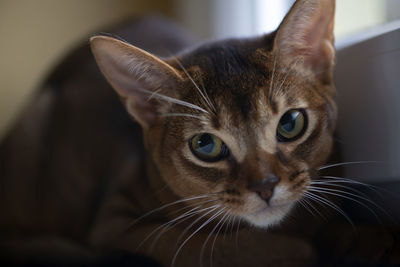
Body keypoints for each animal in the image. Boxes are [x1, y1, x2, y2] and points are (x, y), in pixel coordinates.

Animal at [3, 0, 396, 266]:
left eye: (290, 124)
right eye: (205, 145)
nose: (266, 186)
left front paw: (369, 238)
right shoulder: (118, 223)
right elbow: (222, 248)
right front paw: (306, 249)